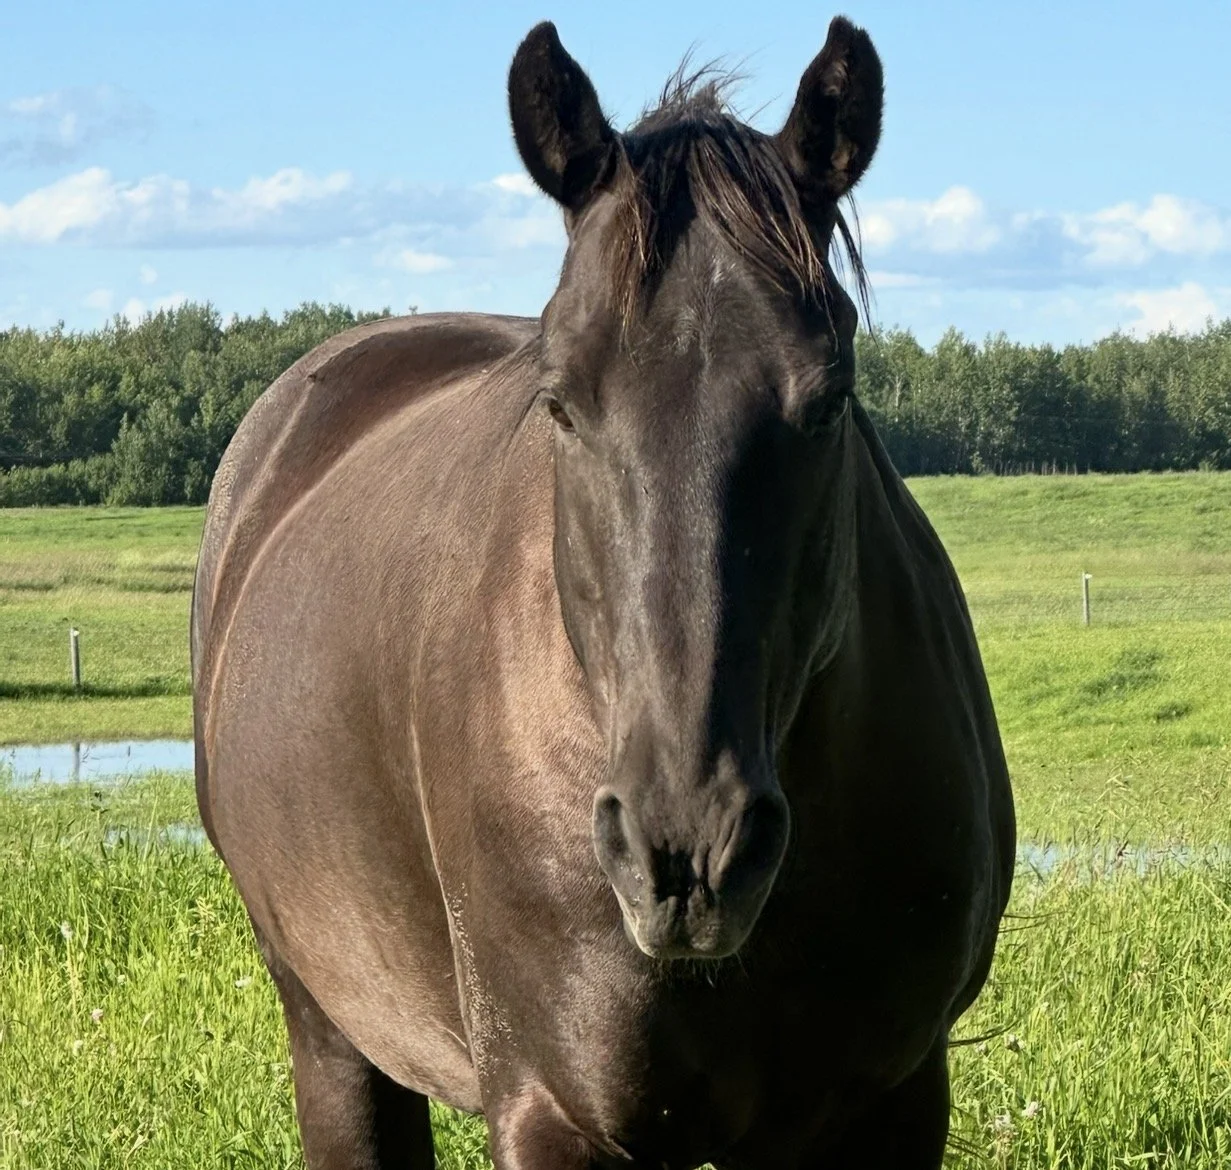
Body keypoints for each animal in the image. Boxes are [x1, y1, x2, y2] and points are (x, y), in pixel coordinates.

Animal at [192, 16, 1015, 1169]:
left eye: (829, 398)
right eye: (560, 401)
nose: (688, 852)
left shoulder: (890, 1104)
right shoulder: (554, 1114)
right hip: (330, 1030)